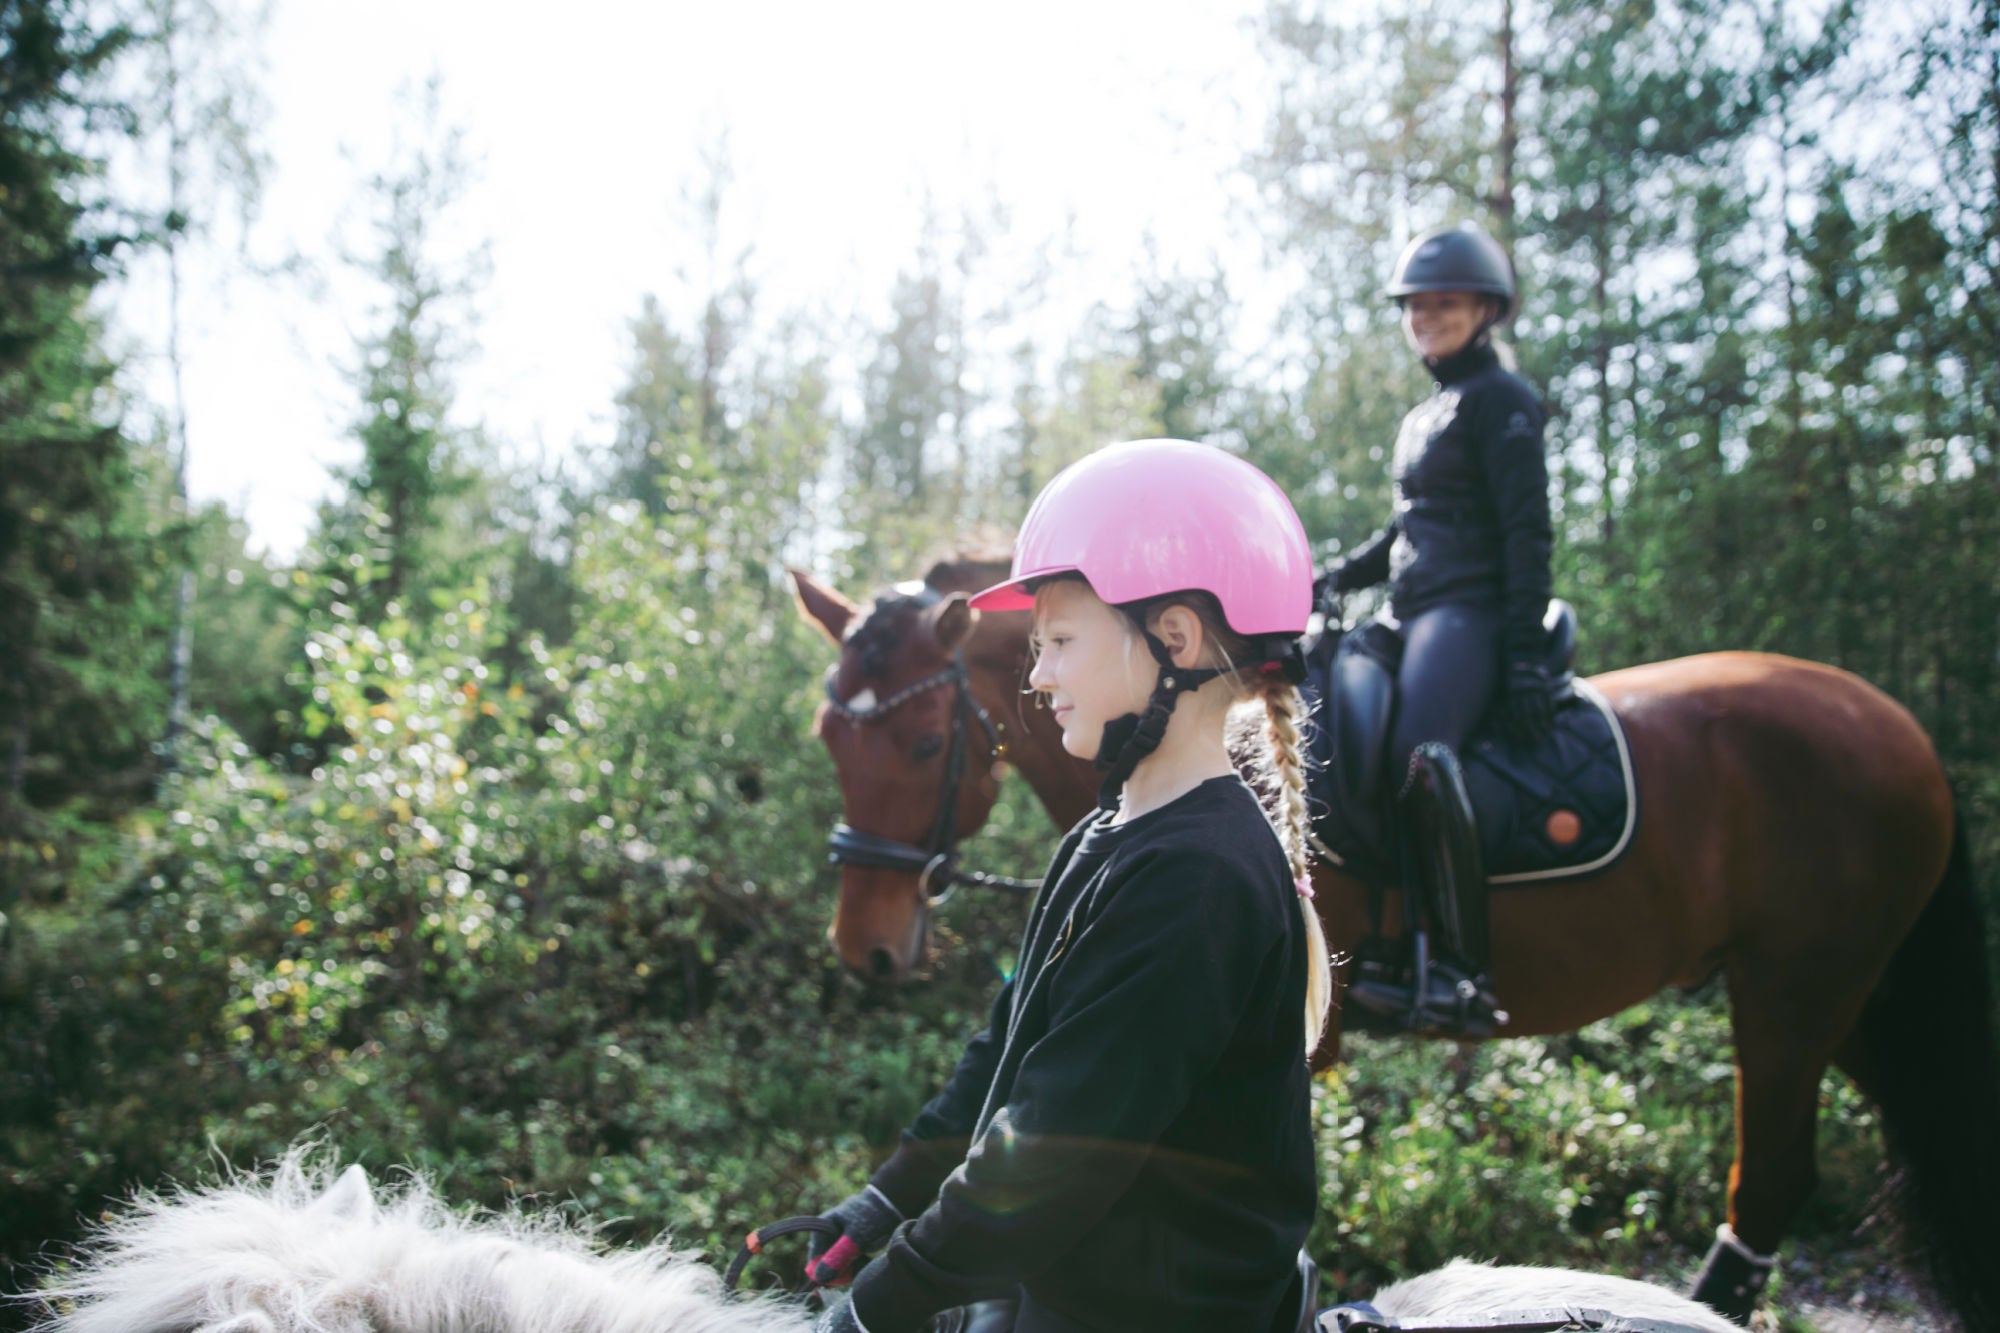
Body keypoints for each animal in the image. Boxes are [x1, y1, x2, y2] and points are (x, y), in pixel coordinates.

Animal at [788, 556, 1992, 1320]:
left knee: (1772, 1178)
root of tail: (1897, 724)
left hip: (1792, 991)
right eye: (828, 740)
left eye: (927, 740)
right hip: (1850, 999)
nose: (865, 949)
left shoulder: (1311, 1032)